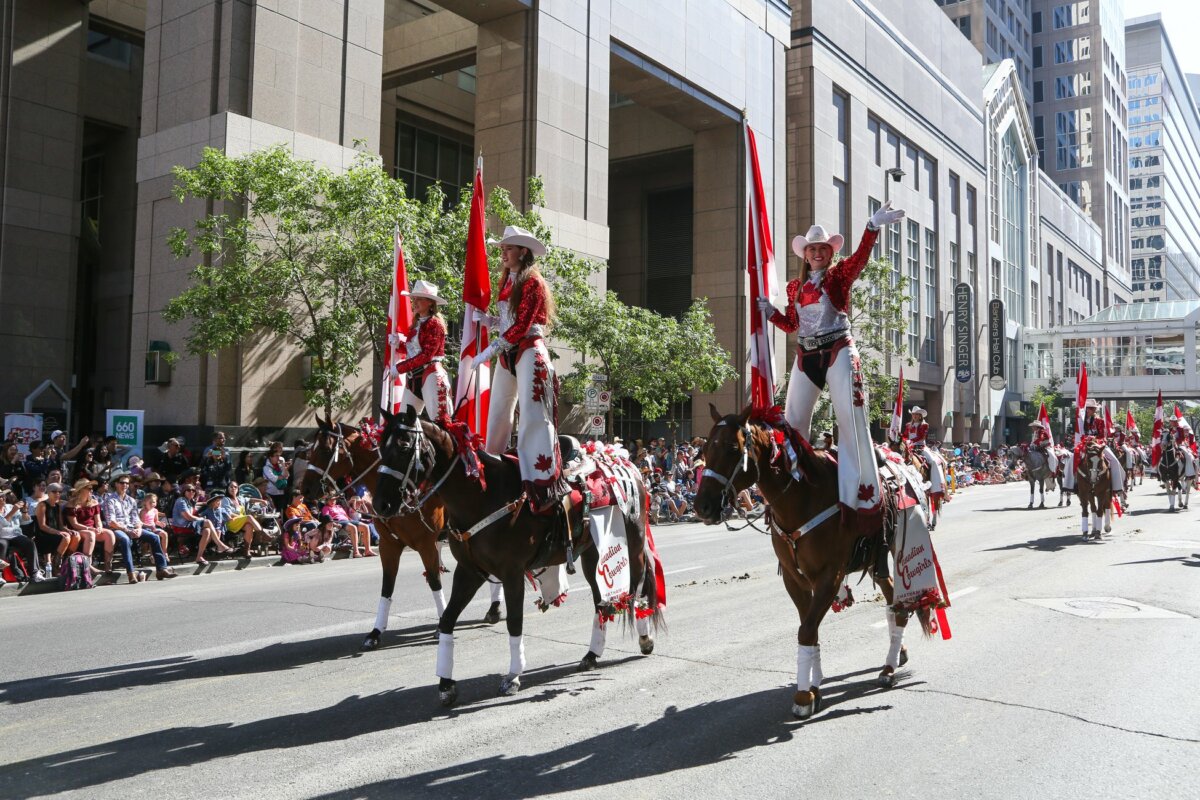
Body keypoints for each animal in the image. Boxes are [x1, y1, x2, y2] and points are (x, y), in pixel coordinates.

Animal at [302, 417, 499, 652]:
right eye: (309, 449)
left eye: (324, 449)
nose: (304, 489)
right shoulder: (389, 545)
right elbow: (387, 586)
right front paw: (375, 633)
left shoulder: (426, 545)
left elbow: (434, 581)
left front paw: (441, 625)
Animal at [369, 407, 662, 705]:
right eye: (379, 447)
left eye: (404, 446)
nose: (380, 504)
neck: (484, 496)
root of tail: (625, 463)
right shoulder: (469, 571)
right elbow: (448, 620)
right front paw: (446, 684)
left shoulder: (511, 573)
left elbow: (514, 621)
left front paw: (512, 676)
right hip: (592, 556)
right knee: (600, 600)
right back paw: (592, 654)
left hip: (633, 545)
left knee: (637, 588)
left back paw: (644, 638)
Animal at [696, 402, 936, 724]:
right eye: (705, 448)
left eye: (733, 448)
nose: (702, 506)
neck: (803, 498)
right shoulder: (794, 578)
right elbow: (808, 628)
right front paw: (813, 687)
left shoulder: (829, 576)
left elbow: (807, 630)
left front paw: (803, 697)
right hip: (877, 561)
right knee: (892, 603)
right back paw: (896, 657)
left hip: (899, 553)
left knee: (900, 606)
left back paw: (888, 669)